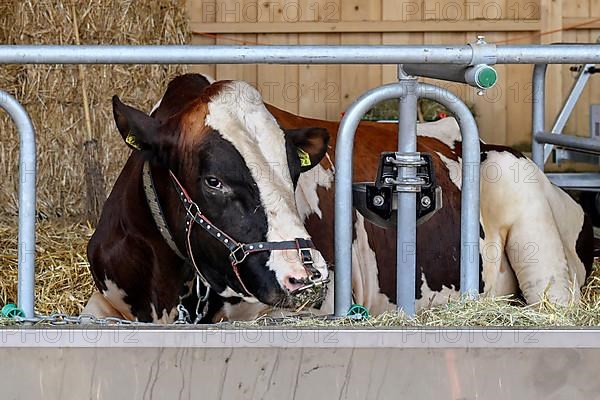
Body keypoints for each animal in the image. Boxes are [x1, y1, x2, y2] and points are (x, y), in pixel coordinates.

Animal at [83, 73, 596, 324]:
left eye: (293, 171)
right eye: (213, 181)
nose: (305, 275)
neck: (170, 292)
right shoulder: (104, 304)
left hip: (542, 255)